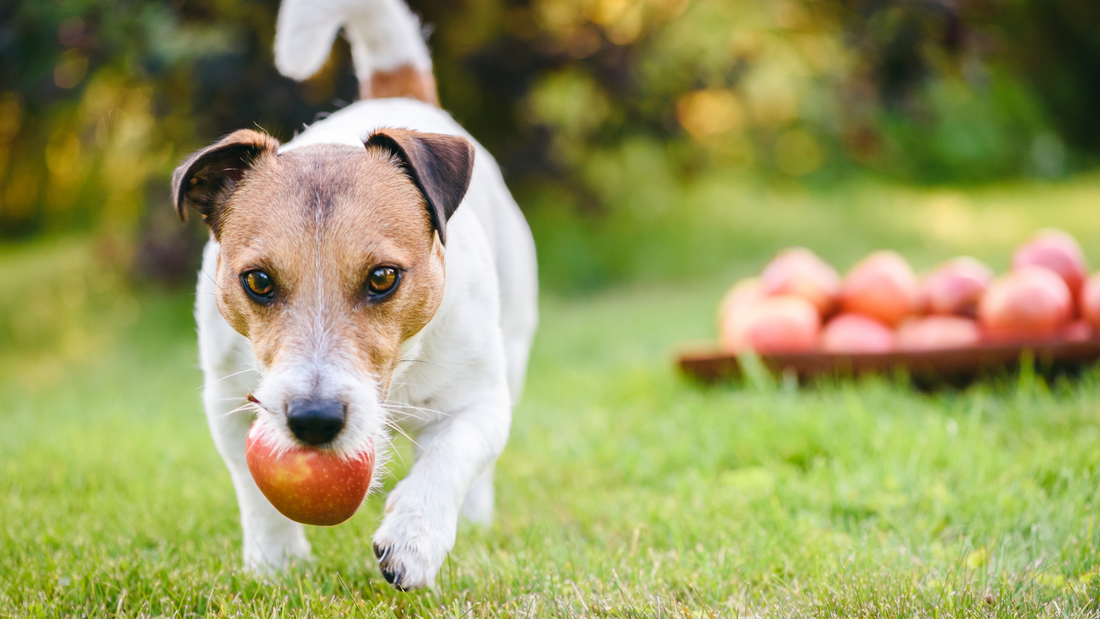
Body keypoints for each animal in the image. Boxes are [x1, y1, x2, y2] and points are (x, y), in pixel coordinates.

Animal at [169, 0, 539, 589]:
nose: (315, 420)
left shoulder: (480, 401)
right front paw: (274, 564)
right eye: (258, 281)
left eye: (383, 277)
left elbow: (451, 456)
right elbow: (255, 492)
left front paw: (414, 537)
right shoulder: (227, 405)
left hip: (517, 341)